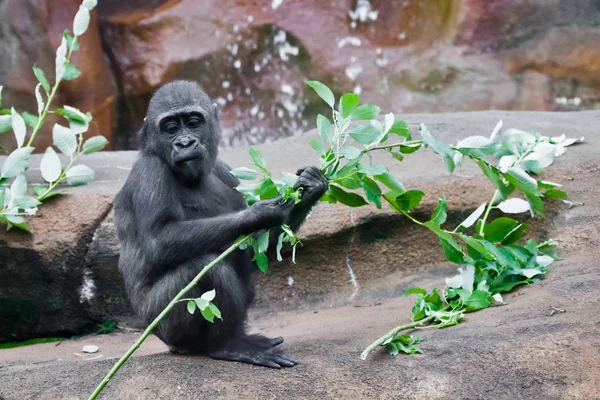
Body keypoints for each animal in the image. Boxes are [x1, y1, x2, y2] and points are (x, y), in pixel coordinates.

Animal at [113, 80, 328, 368]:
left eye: (193, 123)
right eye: (170, 128)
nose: (185, 142)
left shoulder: (227, 172)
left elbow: (253, 250)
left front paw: (310, 189)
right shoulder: (149, 172)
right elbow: (160, 238)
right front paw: (259, 214)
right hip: (164, 329)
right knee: (204, 268)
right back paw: (228, 346)